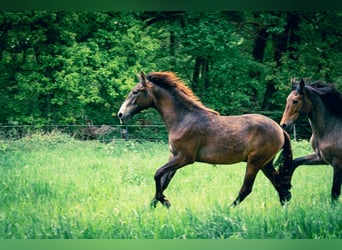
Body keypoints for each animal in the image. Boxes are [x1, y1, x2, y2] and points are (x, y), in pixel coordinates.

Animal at [117, 71, 292, 208]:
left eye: (135, 91)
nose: (121, 114)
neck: (183, 119)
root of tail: (280, 130)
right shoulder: (174, 156)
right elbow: (163, 181)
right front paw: (151, 208)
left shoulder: (185, 158)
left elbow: (157, 174)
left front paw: (165, 202)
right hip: (265, 164)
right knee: (280, 185)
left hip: (255, 162)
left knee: (247, 189)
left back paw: (226, 211)